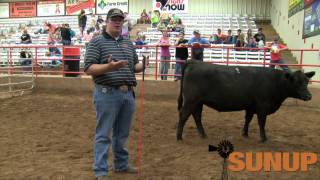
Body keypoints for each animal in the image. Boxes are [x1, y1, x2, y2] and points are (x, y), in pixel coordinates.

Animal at [178, 60, 316, 142]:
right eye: (296, 82)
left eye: (306, 81)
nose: (309, 96)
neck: (275, 82)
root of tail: (194, 62)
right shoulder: (262, 107)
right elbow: (262, 123)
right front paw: (263, 138)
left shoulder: (251, 106)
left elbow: (248, 119)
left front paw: (245, 133)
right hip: (191, 100)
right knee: (184, 115)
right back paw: (179, 137)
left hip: (198, 102)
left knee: (196, 116)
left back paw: (203, 135)